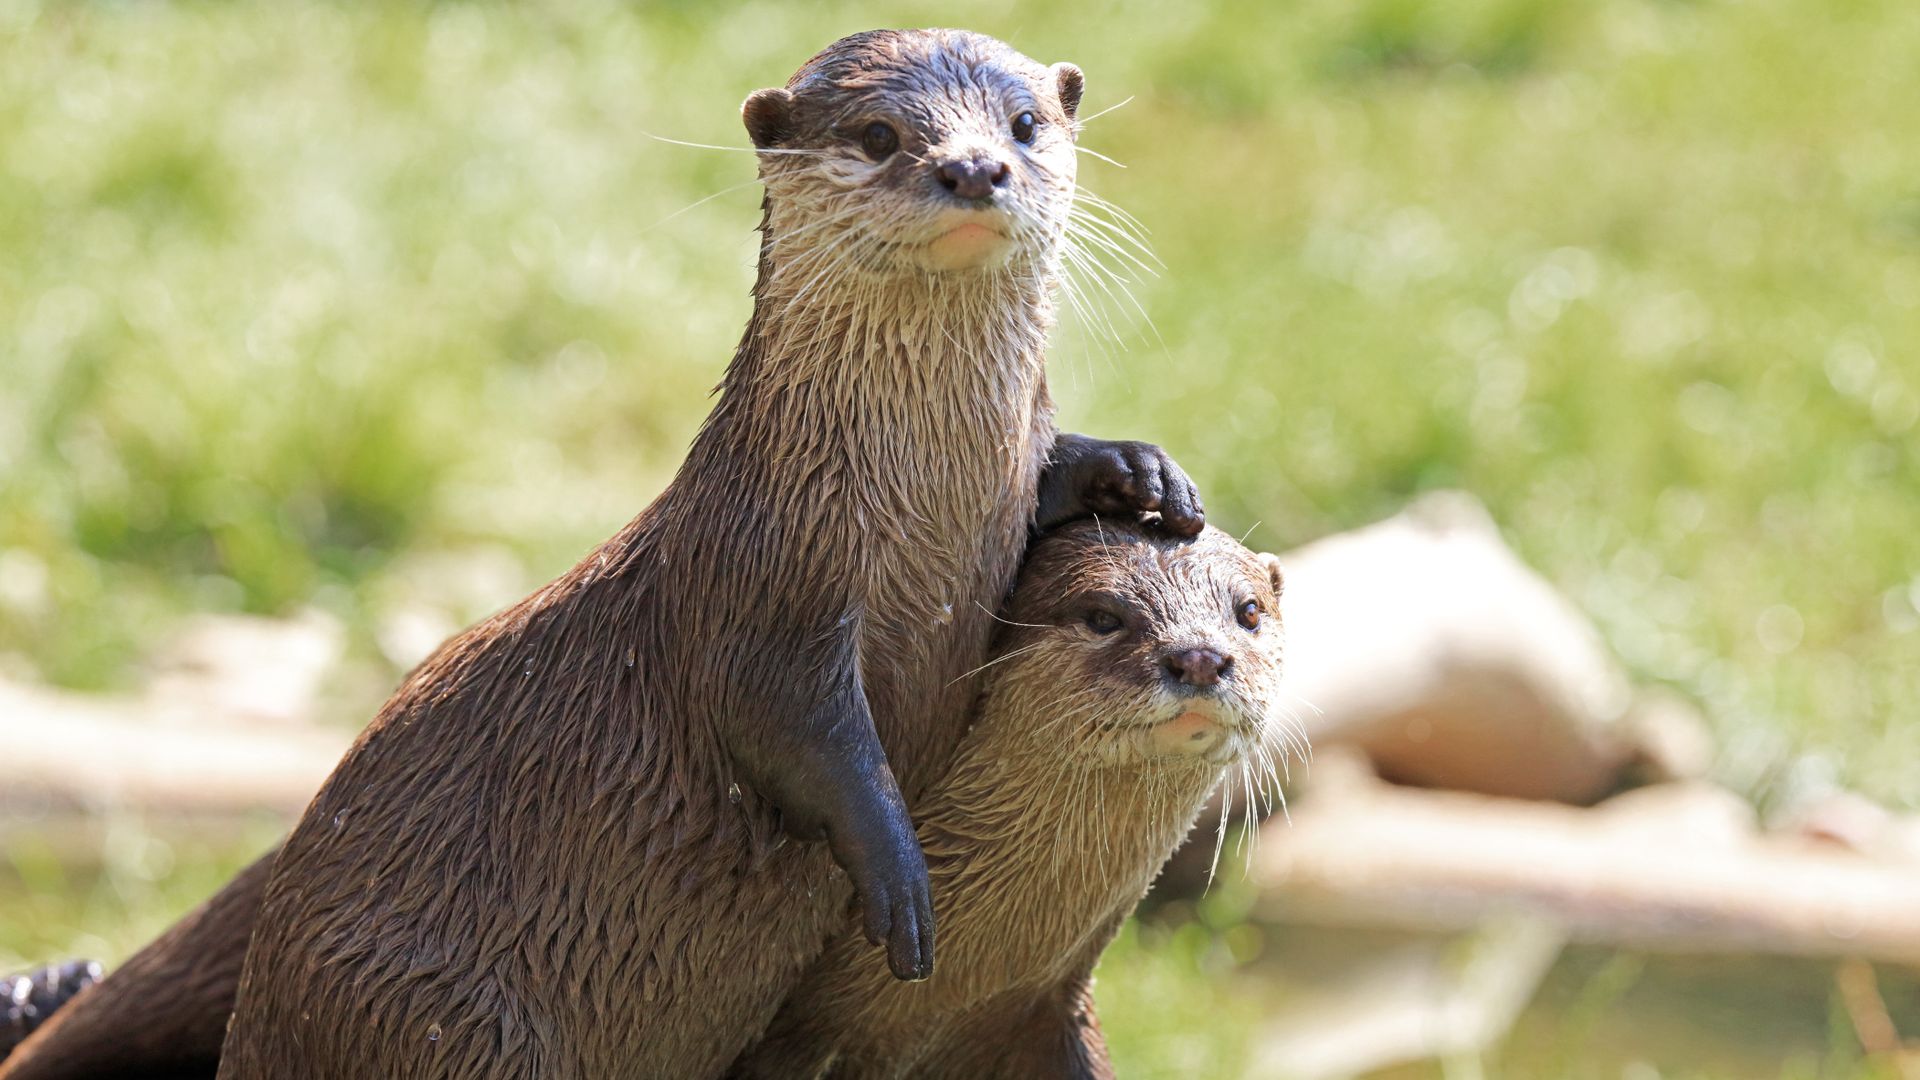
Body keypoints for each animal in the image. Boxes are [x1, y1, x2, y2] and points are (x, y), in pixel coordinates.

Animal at [183, 27, 1201, 1080]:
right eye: (880, 135)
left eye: (1025, 123)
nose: (973, 167)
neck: (916, 509)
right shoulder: (759, 584)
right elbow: (794, 729)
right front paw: (901, 876)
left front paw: (1134, 474)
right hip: (441, 1021)